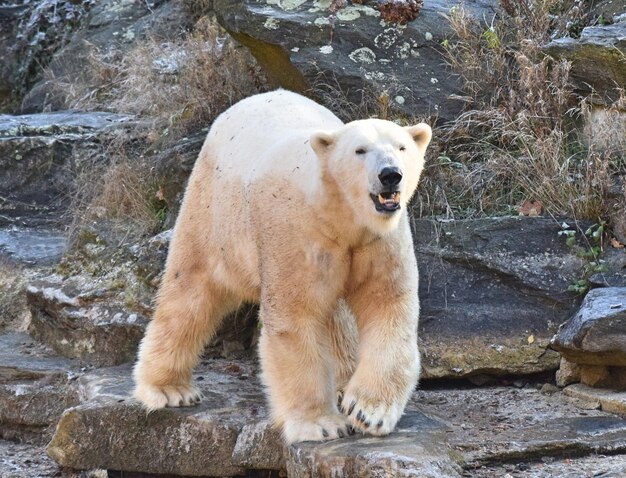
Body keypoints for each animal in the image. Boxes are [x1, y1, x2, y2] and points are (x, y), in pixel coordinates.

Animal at [133, 89, 428, 444]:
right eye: (360, 150)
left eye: (401, 147)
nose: (390, 174)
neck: (341, 216)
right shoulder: (298, 234)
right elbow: (295, 318)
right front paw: (321, 424)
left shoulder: (378, 242)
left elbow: (387, 306)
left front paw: (367, 412)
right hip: (211, 211)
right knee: (189, 291)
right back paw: (168, 389)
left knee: (337, 318)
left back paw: (342, 386)